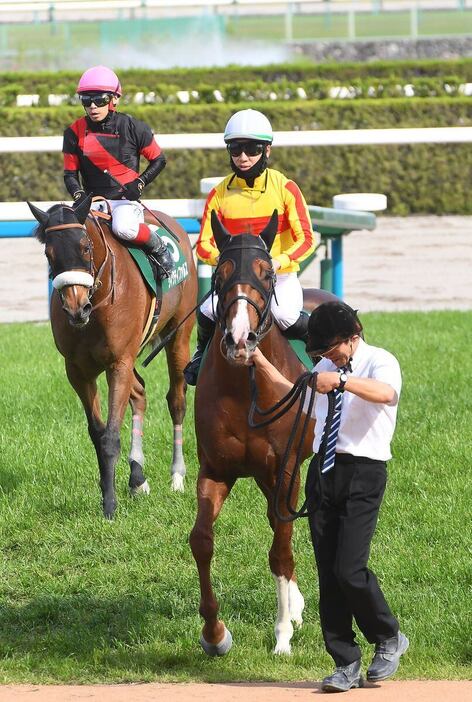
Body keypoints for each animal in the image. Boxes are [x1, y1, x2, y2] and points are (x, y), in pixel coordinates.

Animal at [28, 195, 197, 520]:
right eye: (48, 252)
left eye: (85, 246)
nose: (76, 308)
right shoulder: (78, 371)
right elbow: (98, 433)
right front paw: (113, 491)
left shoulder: (118, 364)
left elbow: (110, 436)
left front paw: (109, 506)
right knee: (140, 393)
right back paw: (138, 478)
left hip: (179, 335)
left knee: (177, 400)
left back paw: (177, 476)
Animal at [188, 213, 336, 660]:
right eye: (219, 275)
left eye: (267, 273)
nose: (239, 339)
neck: (246, 390)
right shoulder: (216, 469)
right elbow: (201, 541)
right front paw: (214, 634)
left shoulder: (285, 468)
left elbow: (281, 549)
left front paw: (283, 634)